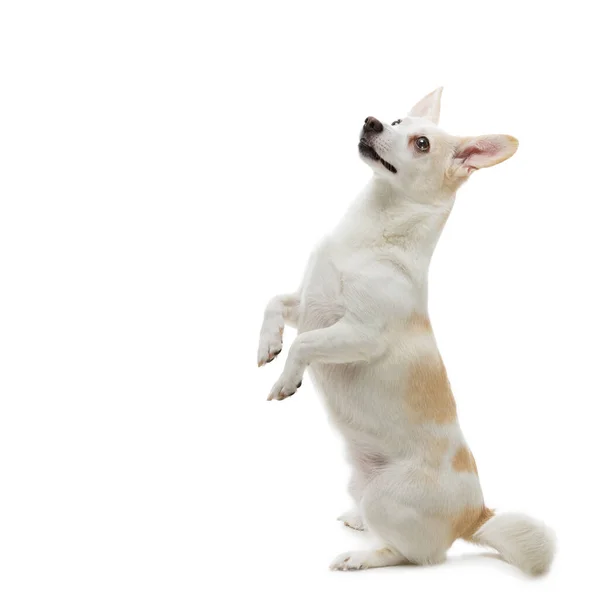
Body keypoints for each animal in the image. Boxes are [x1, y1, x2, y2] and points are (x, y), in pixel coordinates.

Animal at [255, 88, 556, 572]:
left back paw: (360, 557)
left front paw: (287, 379)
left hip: (386, 497)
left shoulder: (358, 333)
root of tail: (476, 516)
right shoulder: (310, 304)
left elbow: (305, 343)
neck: (373, 229)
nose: (372, 121)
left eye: (422, 144)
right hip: (361, 483)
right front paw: (267, 345)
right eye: (397, 121)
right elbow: (275, 304)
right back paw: (357, 520)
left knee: (413, 555)